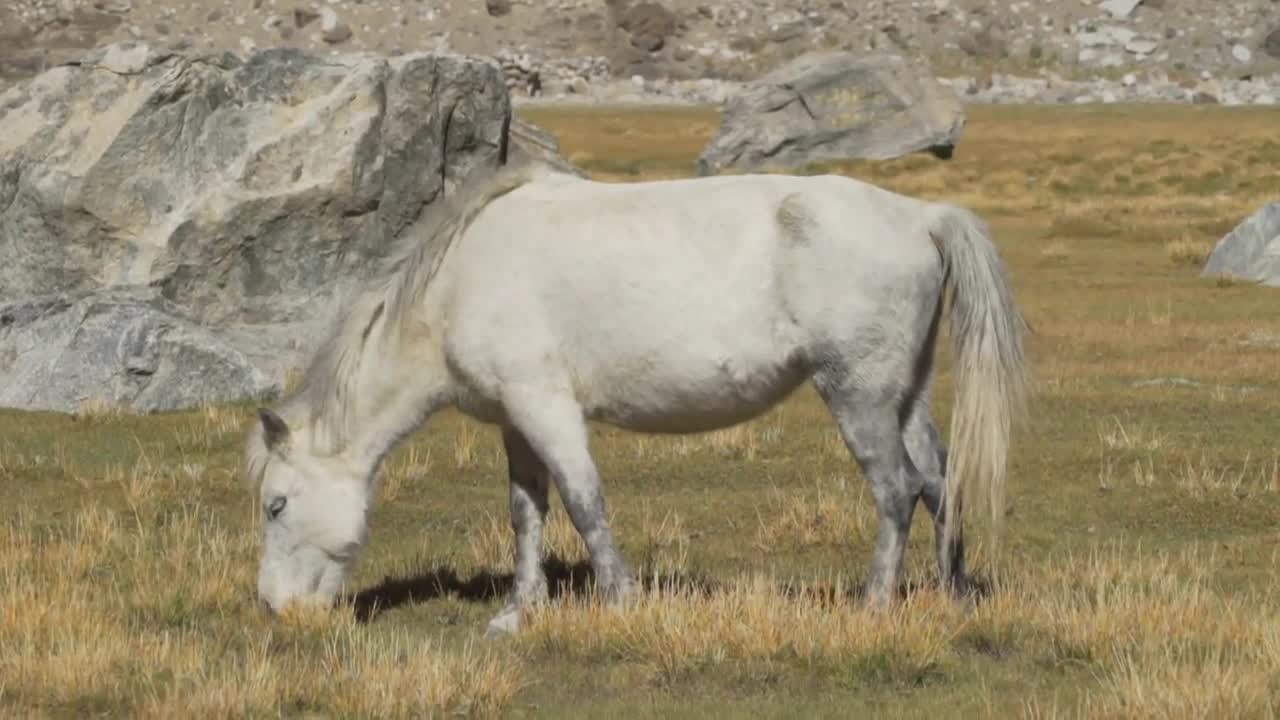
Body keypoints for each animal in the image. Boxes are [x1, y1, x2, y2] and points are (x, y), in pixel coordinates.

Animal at [247, 159, 1029, 630]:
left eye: (276, 504)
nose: (275, 607)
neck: (456, 280)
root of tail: (922, 216)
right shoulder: (515, 421)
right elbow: (526, 514)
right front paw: (518, 612)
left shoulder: (547, 408)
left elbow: (584, 503)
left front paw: (619, 601)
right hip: (904, 396)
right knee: (939, 479)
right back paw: (954, 593)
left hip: (858, 397)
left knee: (898, 490)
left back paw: (873, 605)